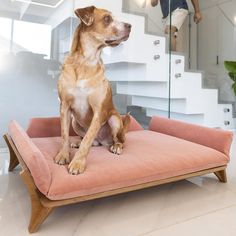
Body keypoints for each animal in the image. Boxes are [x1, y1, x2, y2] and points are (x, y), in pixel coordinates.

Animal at [54, 6, 132, 175]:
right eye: (107, 18)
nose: (130, 25)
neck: (86, 62)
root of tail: (103, 141)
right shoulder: (64, 107)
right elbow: (64, 135)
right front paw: (63, 155)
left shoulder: (99, 111)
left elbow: (87, 140)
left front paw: (77, 163)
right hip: (74, 121)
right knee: (91, 141)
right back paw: (78, 143)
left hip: (114, 120)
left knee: (119, 140)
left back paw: (116, 146)